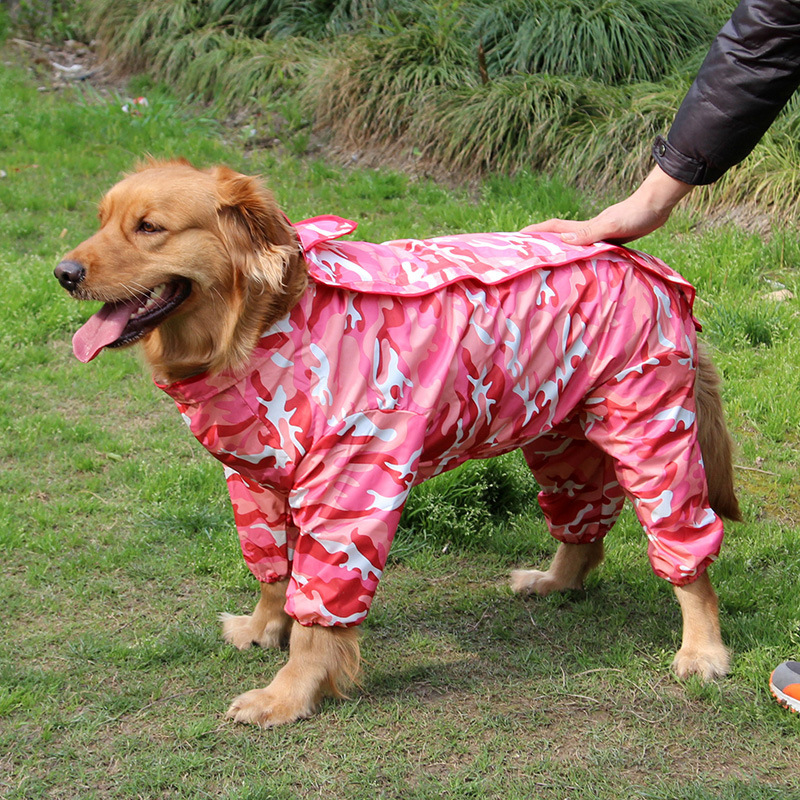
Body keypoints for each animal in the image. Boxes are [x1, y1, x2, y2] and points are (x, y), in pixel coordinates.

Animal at [56, 159, 740, 728]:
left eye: (149, 228)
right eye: (102, 220)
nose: (63, 273)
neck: (264, 328)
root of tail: (643, 263)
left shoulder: (350, 482)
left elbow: (318, 611)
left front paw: (289, 694)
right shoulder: (256, 480)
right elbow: (274, 570)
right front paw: (261, 628)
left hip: (651, 429)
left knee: (685, 545)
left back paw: (702, 648)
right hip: (559, 432)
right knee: (585, 521)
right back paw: (555, 581)